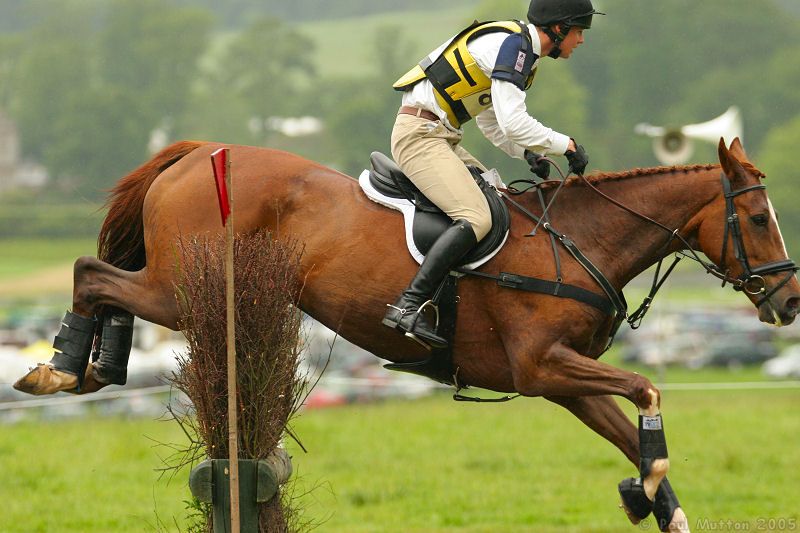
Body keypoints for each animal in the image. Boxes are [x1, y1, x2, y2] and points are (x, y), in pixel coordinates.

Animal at [15, 137, 799, 532]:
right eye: (760, 218)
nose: (789, 301)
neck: (579, 241)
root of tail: (197, 151)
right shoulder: (542, 367)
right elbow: (648, 387)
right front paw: (645, 486)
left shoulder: (565, 383)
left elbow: (633, 430)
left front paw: (654, 499)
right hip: (186, 290)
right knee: (92, 272)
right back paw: (63, 368)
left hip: (187, 288)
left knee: (106, 278)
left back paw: (92, 367)